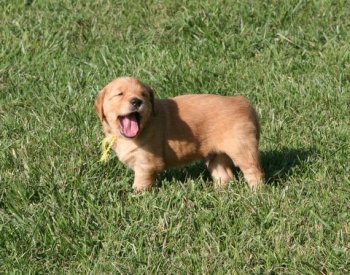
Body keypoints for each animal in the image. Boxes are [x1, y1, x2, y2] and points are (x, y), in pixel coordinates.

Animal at [94, 76, 264, 192]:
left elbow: (141, 182)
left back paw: (257, 193)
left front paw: (137, 197)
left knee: (255, 171)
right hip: (216, 155)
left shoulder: (146, 162)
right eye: (120, 94)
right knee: (224, 174)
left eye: (143, 95)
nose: (137, 101)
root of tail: (244, 103)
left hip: (242, 148)